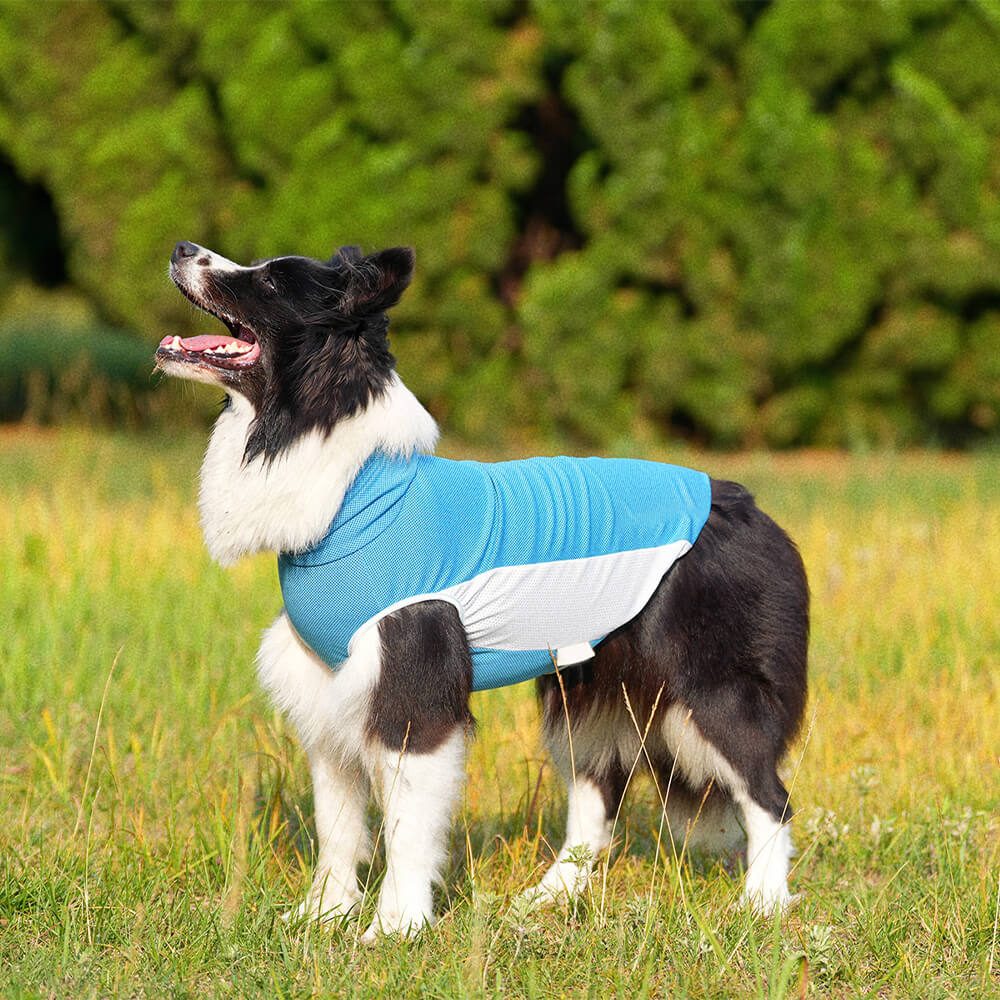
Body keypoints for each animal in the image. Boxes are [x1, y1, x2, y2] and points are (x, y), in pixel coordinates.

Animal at [158, 240, 812, 936]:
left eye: (274, 282)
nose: (181, 248)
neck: (355, 497)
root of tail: (752, 509)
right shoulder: (328, 686)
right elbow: (337, 823)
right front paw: (321, 917)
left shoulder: (413, 689)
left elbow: (407, 826)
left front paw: (393, 929)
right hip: (585, 692)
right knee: (596, 795)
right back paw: (550, 898)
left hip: (712, 691)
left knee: (769, 796)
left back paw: (762, 903)